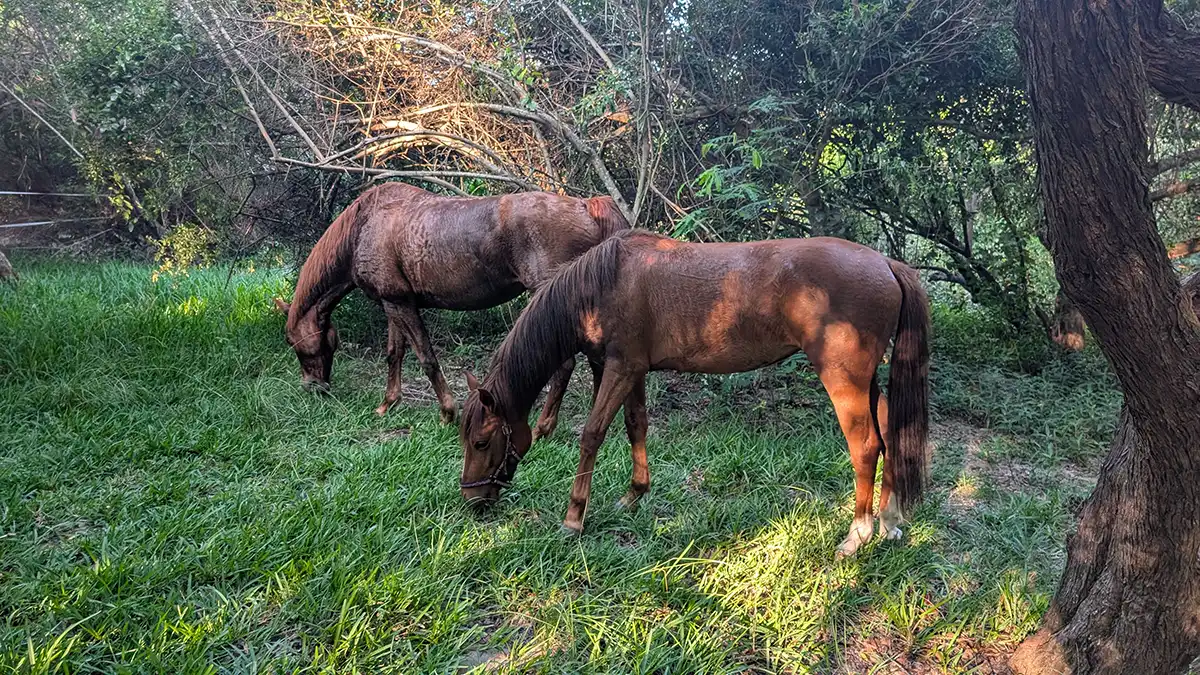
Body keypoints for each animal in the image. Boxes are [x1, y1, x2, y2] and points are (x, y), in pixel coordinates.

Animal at [274, 182, 630, 431]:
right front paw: (388, 403)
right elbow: (395, 354)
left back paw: (544, 427)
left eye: (294, 342)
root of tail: (586, 206)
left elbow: (426, 358)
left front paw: (447, 411)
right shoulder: (394, 302)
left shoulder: (400, 304)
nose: (314, 388)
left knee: (565, 365)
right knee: (596, 362)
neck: (366, 225)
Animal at [459, 229, 930, 558]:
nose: (472, 500)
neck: (602, 285)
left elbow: (592, 434)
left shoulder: (619, 368)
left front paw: (574, 518)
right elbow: (635, 425)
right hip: (867, 382)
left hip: (843, 380)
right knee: (887, 434)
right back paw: (888, 522)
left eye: (482, 441)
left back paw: (857, 535)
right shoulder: (632, 371)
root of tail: (886, 263)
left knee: (865, 447)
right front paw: (634, 495)